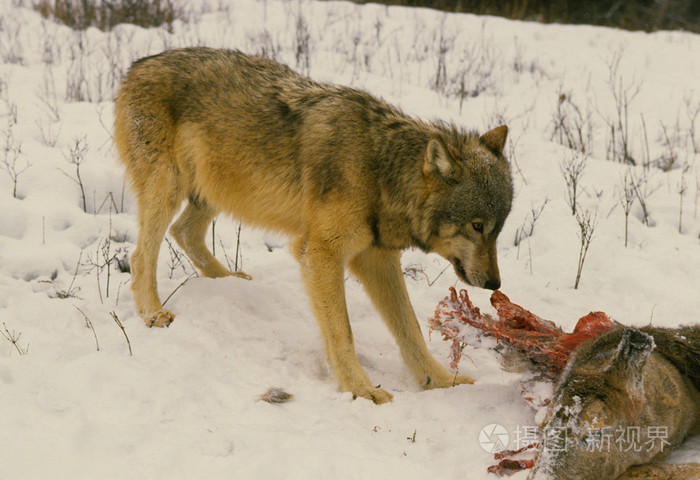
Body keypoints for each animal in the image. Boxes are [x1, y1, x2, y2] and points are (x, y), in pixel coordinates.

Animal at [112, 48, 512, 404]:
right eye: (477, 225)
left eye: (497, 230)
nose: (495, 284)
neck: (380, 172)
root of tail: (136, 65)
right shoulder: (321, 255)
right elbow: (343, 333)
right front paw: (360, 389)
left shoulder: (377, 258)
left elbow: (410, 329)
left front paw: (441, 381)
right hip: (170, 188)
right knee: (141, 254)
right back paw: (153, 313)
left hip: (214, 191)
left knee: (184, 232)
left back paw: (230, 281)